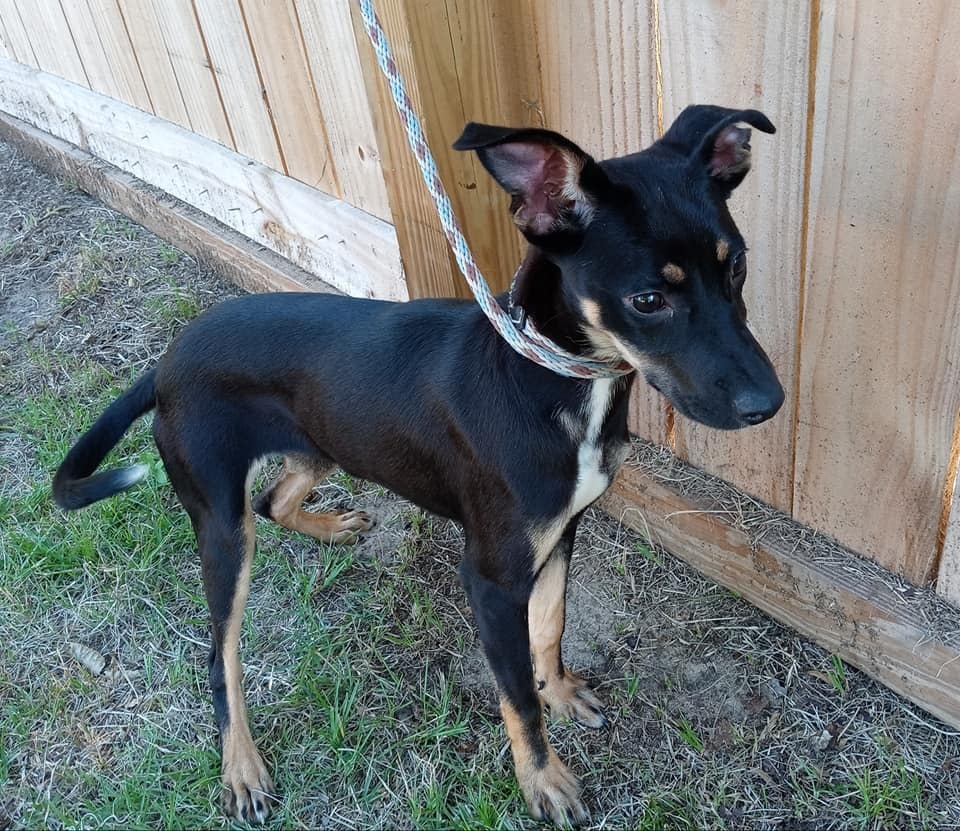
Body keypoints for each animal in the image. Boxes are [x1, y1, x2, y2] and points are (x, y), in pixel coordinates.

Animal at [53, 104, 783, 826]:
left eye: (739, 267)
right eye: (648, 300)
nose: (768, 404)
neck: (543, 374)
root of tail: (166, 363)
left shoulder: (562, 532)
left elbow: (550, 625)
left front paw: (559, 689)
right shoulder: (491, 577)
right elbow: (516, 697)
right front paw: (543, 779)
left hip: (322, 443)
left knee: (274, 499)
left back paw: (328, 528)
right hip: (221, 524)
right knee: (219, 653)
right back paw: (242, 766)